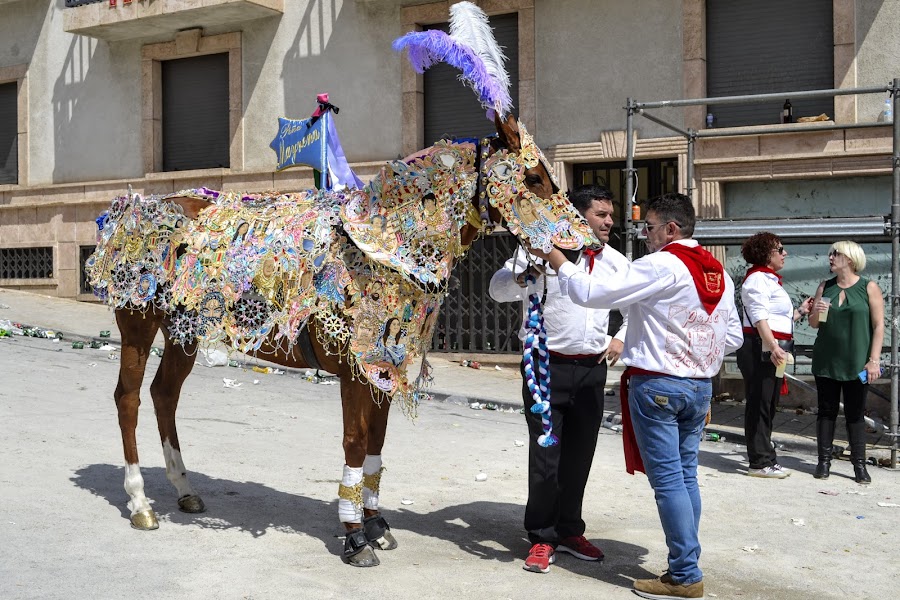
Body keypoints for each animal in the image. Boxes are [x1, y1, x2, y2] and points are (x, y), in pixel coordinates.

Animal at [84, 3, 596, 568]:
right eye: (533, 179)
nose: (584, 247)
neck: (383, 245)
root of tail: (131, 207)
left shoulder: (384, 369)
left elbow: (376, 445)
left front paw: (375, 522)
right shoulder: (353, 370)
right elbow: (355, 442)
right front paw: (353, 537)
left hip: (185, 330)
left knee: (163, 395)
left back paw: (183, 488)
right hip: (138, 323)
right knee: (129, 398)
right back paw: (140, 502)